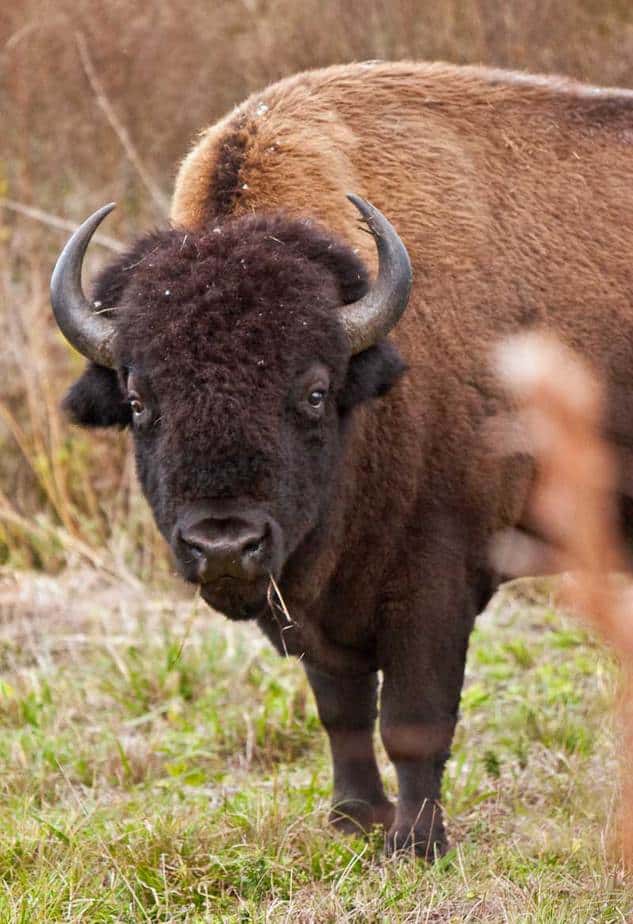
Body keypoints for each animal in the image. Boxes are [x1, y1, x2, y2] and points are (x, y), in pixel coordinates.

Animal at [50, 61, 633, 858]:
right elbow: (342, 711)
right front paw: (354, 818)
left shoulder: (436, 580)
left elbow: (414, 721)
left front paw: (415, 844)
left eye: (314, 391)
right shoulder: (311, 605)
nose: (223, 543)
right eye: (139, 401)